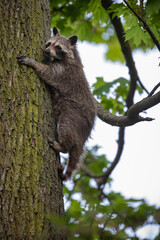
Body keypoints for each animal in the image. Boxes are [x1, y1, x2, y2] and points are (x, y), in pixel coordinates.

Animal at [17, 26, 96, 180]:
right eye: (49, 44)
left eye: (58, 47)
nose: (47, 51)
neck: (71, 56)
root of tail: (83, 137)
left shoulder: (62, 72)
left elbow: (47, 72)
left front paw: (33, 62)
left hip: (74, 113)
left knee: (66, 127)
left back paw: (63, 146)